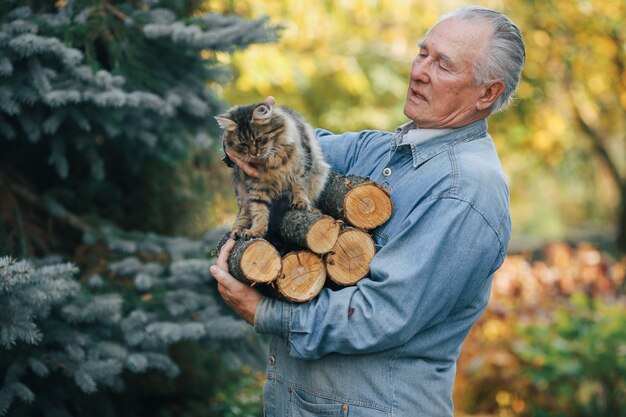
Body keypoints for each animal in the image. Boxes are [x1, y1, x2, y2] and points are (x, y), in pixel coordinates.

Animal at [214, 102, 330, 239]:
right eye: (243, 144)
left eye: (258, 139)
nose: (254, 153)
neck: (271, 160)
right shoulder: (256, 185)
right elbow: (258, 209)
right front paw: (256, 230)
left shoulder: (301, 166)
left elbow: (300, 187)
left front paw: (300, 201)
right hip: (241, 191)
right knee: (244, 212)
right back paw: (238, 229)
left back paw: (314, 210)